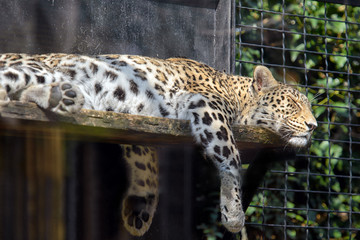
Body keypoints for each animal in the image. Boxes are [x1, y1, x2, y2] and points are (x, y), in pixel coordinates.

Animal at [0, 52, 316, 234]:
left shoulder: (137, 117)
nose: (313, 126)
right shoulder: (203, 104)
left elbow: (145, 155)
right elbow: (230, 155)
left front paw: (138, 210)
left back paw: (61, 96)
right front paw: (234, 213)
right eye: (292, 105)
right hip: (34, 68)